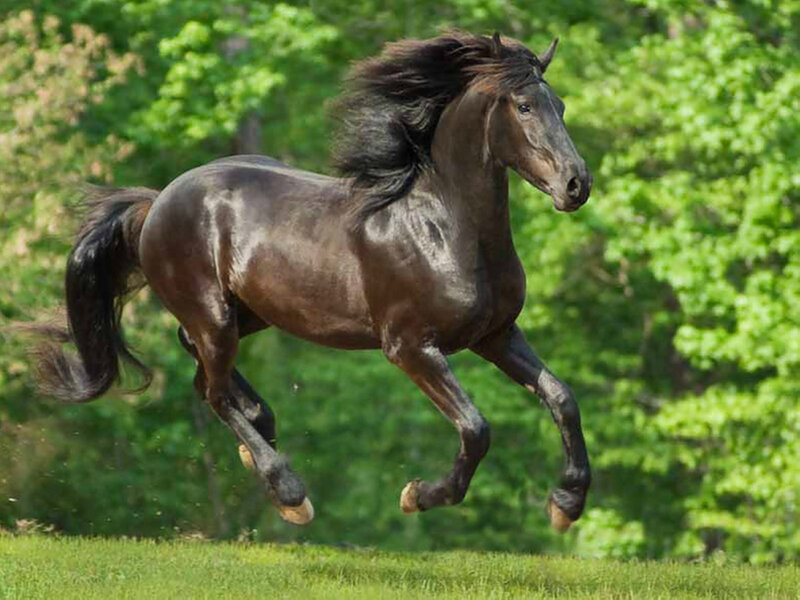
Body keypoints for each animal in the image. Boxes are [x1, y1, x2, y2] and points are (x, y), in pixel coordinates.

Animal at [27, 31, 592, 531]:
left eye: (561, 105)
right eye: (524, 106)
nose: (576, 184)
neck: (442, 228)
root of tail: (156, 201)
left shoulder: (495, 335)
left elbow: (561, 397)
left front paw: (566, 505)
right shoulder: (410, 347)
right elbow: (476, 429)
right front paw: (418, 495)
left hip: (249, 314)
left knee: (202, 372)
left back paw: (259, 431)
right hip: (214, 315)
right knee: (213, 392)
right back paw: (288, 491)